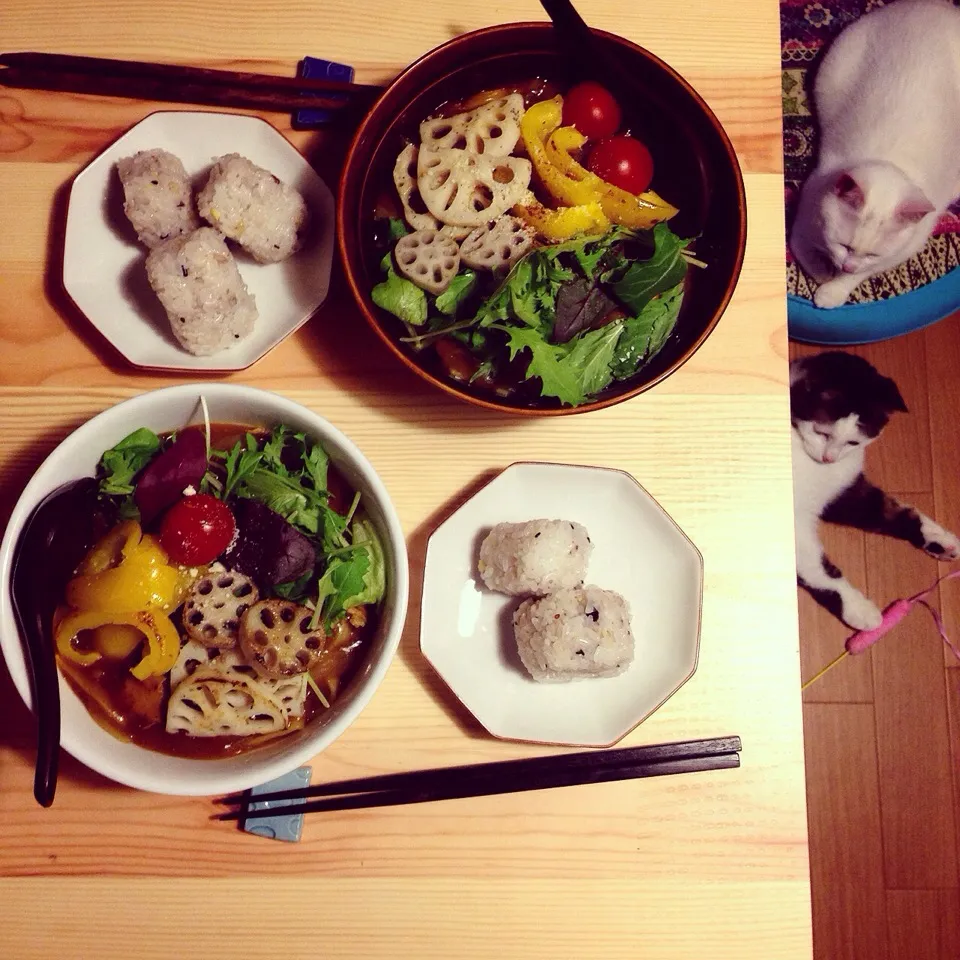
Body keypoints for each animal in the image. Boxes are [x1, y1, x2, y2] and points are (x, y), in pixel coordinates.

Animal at [788, 0, 960, 308]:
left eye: (871, 254)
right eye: (844, 245)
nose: (846, 266)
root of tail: (935, 6)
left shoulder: (906, 246)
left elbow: (865, 273)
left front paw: (833, 291)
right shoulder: (805, 212)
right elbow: (801, 246)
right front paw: (822, 272)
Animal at [792, 352, 956, 632]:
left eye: (853, 442)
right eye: (821, 432)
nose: (828, 458)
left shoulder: (844, 491)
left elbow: (890, 512)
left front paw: (939, 541)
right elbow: (816, 567)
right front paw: (859, 609)